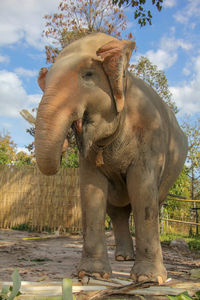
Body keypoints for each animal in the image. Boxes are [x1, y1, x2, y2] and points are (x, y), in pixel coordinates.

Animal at [34, 32, 188, 284]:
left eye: (88, 75)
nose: (66, 141)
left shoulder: (150, 137)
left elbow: (142, 190)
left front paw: (147, 279)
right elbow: (91, 189)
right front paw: (93, 274)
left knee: (152, 202)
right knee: (117, 211)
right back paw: (123, 258)